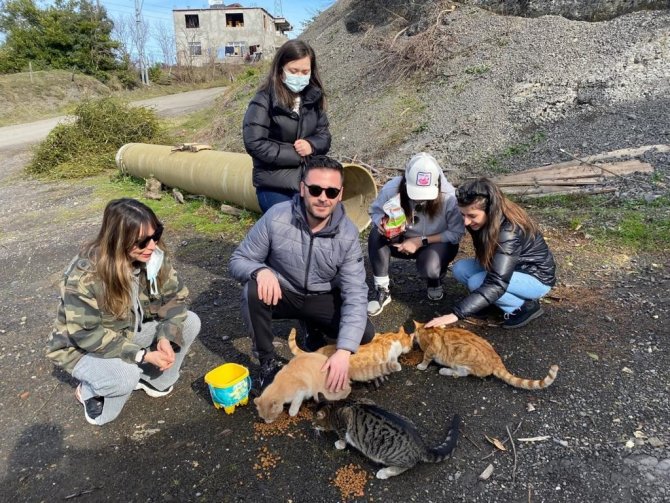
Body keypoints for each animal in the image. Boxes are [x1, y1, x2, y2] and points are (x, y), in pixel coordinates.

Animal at [316, 398, 462, 480]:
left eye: (313, 422)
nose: (313, 428)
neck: (337, 405)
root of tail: (421, 445)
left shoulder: (344, 422)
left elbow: (343, 436)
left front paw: (340, 443)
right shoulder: (368, 400)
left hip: (391, 456)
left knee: (406, 466)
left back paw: (384, 473)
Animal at [412, 322, 560, 390]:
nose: (413, 337)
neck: (429, 329)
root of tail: (496, 359)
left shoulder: (432, 349)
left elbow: (426, 358)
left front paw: (422, 366)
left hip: (460, 358)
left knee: (463, 373)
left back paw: (445, 371)